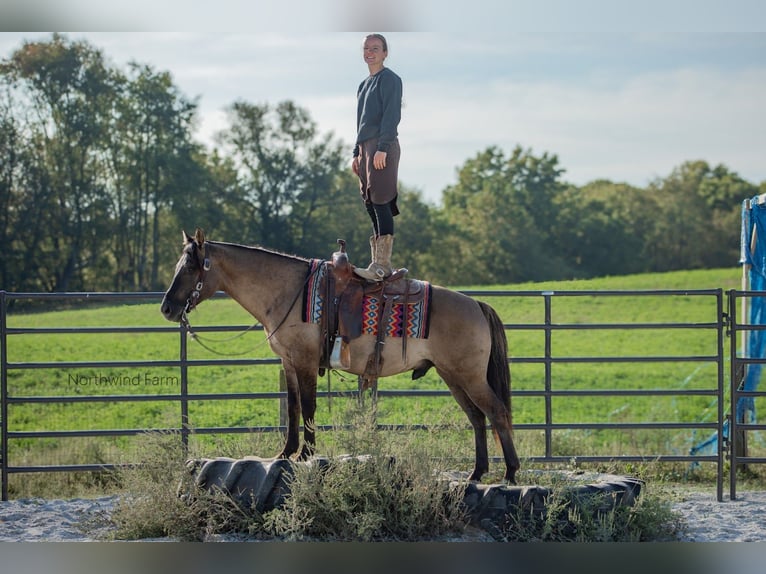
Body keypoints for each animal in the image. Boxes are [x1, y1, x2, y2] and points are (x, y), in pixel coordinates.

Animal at [160, 230, 520, 486]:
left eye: (190, 266)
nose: (166, 308)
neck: (287, 291)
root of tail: (476, 304)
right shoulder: (289, 363)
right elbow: (293, 408)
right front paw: (286, 453)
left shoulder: (305, 362)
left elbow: (308, 408)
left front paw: (306, 454)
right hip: (454, 377)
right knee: (477, 418)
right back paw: (476, 473)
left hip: (469, 376)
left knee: (497, 413)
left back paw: (510, 473)